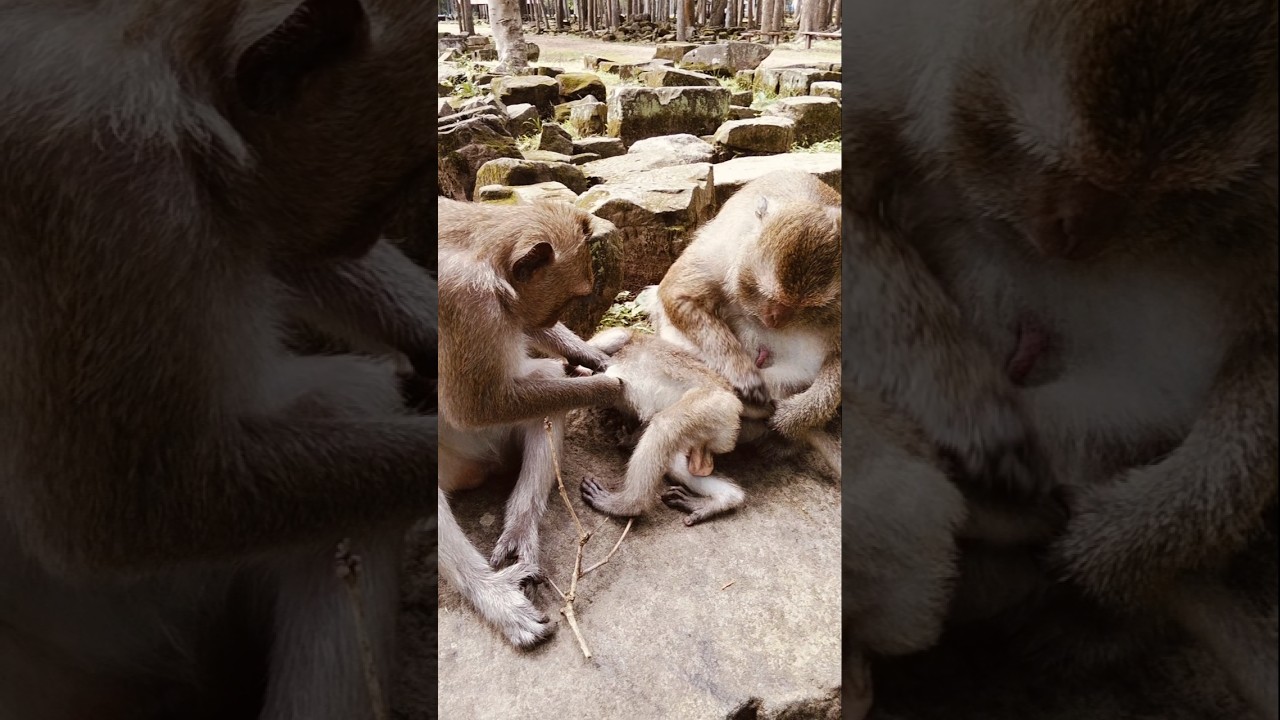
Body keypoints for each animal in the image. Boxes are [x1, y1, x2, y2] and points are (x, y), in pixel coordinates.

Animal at [0, 2, 437, 719]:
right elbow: (114, 517)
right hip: (119, 639)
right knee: (347, 400)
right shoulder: (103, 190)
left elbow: (277, 252)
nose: (365, 233)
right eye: (391, 187)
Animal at [436, 197, 625, 648]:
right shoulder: (465, 305)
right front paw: (608, 385)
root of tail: (478, 469)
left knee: (543, 398)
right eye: (571, 296)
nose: (550, 319)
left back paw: (521, 532)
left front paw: (593, 357)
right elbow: (473, 407)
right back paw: (497, 599)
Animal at [576, 327, 746, 526]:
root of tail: (735, 405)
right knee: (676, 462)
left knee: (664, 426)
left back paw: (628, 505)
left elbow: (618, 336)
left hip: (714, 403)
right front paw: (630, 438)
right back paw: (725, 498)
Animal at [647, 170, 843, 476]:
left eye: (808, 307)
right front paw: (740, 371)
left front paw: (795, 416)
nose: (775, 319)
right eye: (766, 294)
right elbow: (678, 294)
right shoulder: (726, 252)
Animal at [843, 0, 1278, 716]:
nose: (1076, 234)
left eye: (1171, 193)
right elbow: (844, 202)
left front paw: (1134, 538)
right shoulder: (888, 58)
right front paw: (962, 398)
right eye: (1041, 154)